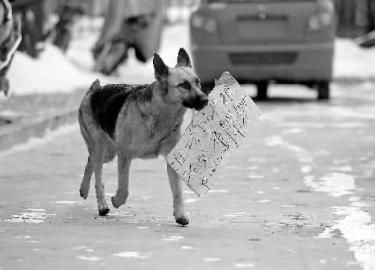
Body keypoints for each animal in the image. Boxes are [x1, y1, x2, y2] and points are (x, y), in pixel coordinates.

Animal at [78, 48, 209, 226]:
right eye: (183, 85)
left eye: (198, 82)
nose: (205, 100)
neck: (161, 114)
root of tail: (94, 90)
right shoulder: (124, 155)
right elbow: (124, 189)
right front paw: (116, 201)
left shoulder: (170, 159)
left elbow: (177, 193)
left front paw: (180, 215)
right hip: (101, 148)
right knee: (98, 177)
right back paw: (102, 205)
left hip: (109, 153)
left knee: (89, 161)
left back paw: (84, 189)